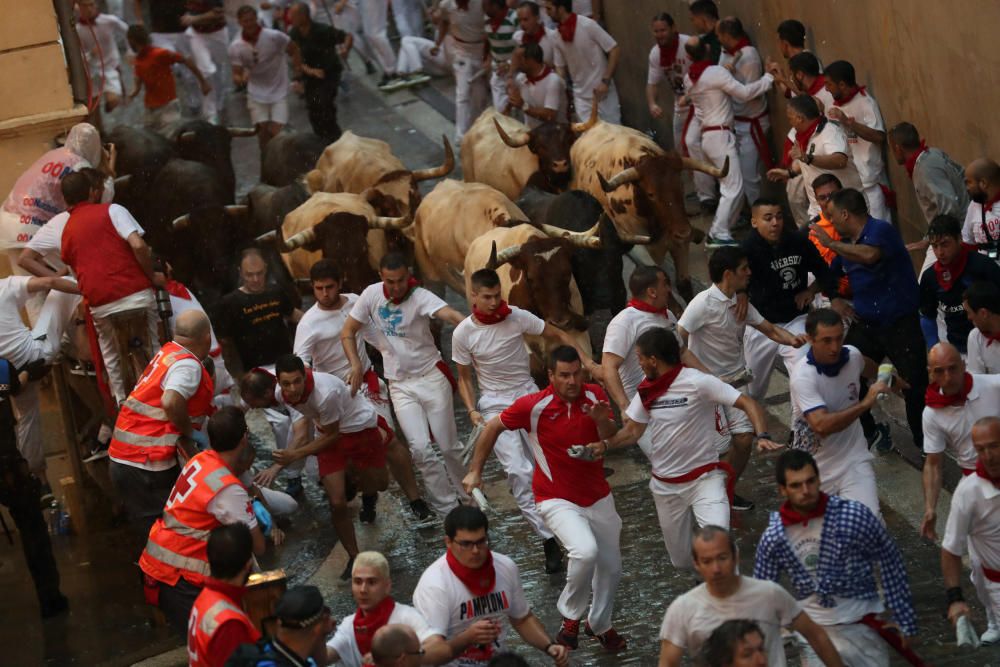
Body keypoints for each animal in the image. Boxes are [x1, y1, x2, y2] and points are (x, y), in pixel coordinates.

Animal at [572, 121, 728, 298]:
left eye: (681, 186)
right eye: (651, 194)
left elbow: (684, 284)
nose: (684, 231)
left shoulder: (678, 242)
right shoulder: (637, 247)